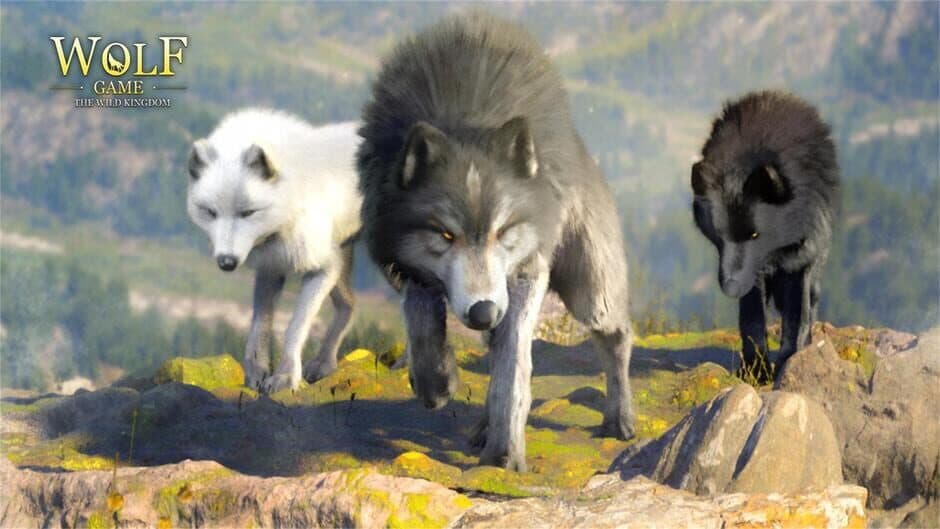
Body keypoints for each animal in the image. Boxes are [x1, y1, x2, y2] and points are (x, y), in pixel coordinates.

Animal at [187, 109, 363, 394]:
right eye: (211, 212)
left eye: (248, 212)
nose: (227, 262)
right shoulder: (271, 269)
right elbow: (260, 326)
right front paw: (256, 373)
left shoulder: (322, 268)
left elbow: (294, 327)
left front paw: (285, 377)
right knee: (350, 305)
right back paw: (324, 364)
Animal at [357, 13, 635, 471]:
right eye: (445, 235)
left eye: (502, 232)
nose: (483, 312)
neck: (466, 115)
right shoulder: (408, 267)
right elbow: (420, 321)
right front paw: (436, 381)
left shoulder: (525, 276)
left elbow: (513, 371)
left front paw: (505, 454)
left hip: (590, 293)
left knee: (616, 337)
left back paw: (619, 419)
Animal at [691, 91, 839, 380]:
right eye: (720, 237)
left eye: (755, 234)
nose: (731, 288)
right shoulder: (752, 275)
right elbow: (752, 320)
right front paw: (756, 370)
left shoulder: (799, 262)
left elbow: (796, 317)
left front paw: (789, 362)